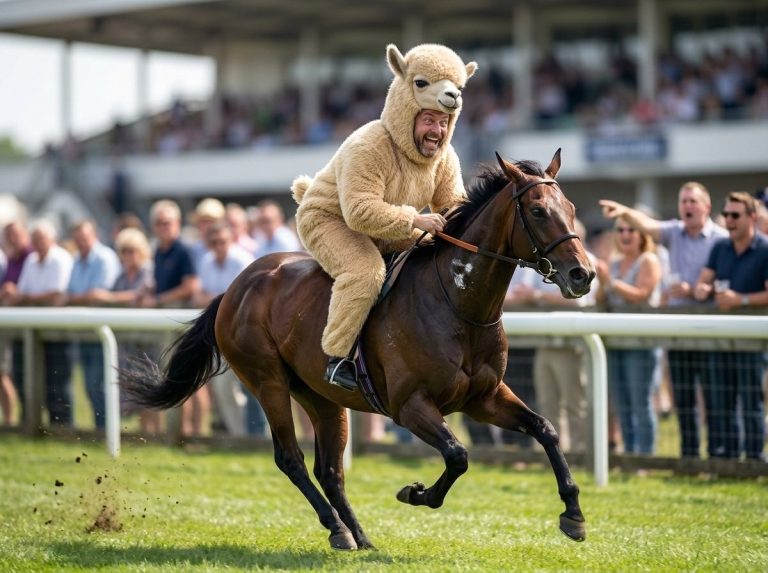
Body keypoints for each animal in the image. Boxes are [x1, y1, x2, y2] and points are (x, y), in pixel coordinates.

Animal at [122, 149, 595, 551]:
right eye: (538, 211)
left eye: (572, 209)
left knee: (330, 470)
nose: (583, 274)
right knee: (291, 458)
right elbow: (458, 455)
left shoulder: (484, 397)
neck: (458, 303)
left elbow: (546, 429)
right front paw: (416, 493)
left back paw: (360, 536)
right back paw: (337, 529)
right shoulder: (409, 405)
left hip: (321, 396)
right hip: (266, 381)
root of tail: (235, 288)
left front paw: (573, 514)